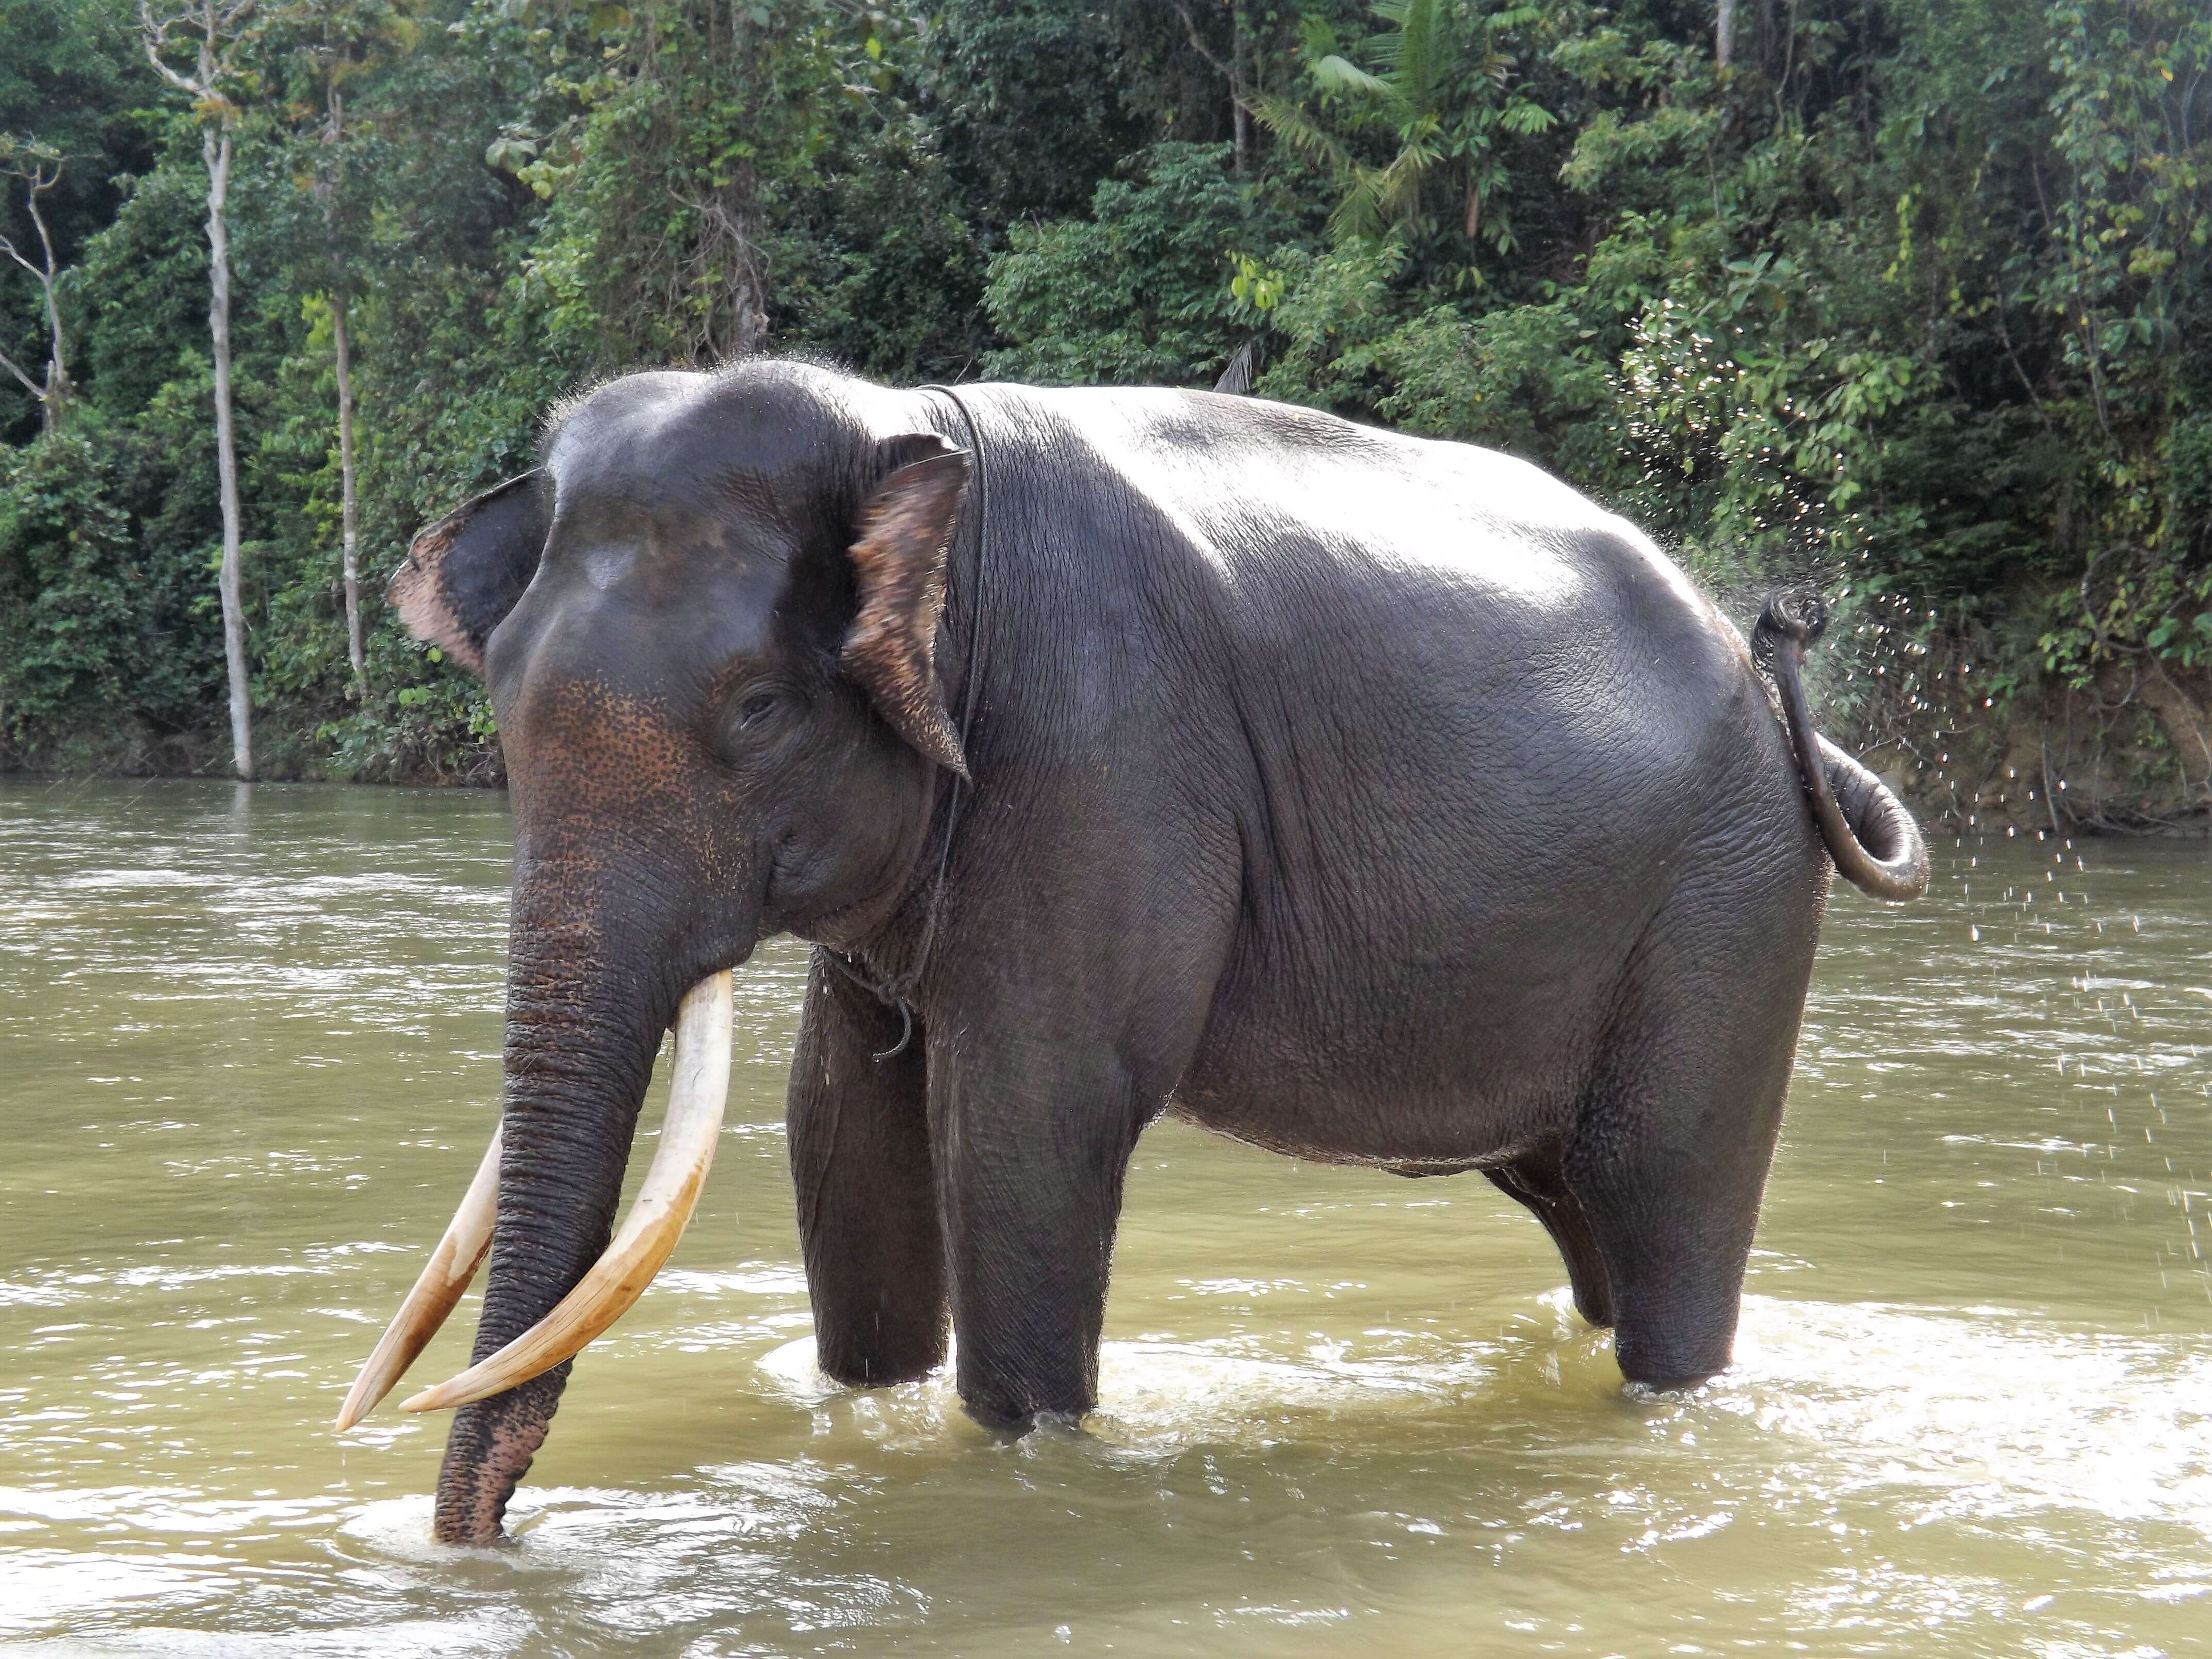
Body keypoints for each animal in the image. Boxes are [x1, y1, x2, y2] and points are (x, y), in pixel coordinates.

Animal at [336, 360, 1929, 1548]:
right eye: (498, 701)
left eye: (756, 712)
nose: (491, 1541)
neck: (906, 434)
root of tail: (1777, 690)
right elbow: (843, 1134)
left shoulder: (1097, 754)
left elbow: (1025, 1127)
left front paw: (1022, 1454)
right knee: (1585, 1216)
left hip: (1726, 909)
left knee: (1665, 1210)